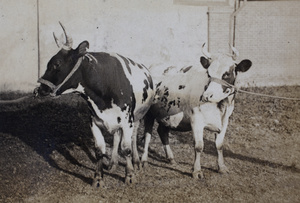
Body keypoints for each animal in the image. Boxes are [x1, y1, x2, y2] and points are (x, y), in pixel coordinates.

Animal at [35, 22, 155, 187]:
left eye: (57, 64)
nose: (40, 89)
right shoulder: (94, 121)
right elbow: (99, 150)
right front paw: (98, 178)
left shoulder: (127, 121)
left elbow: (126, 149)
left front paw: (130, 175)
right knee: (116, 136)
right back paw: (112, 163)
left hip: (138, 116)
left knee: (133, 137)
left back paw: (136, 161)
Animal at [137, 44, 252, 179]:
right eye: (208, 73)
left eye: (226, 74)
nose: (207, 96)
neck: (219, 105)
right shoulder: (196, 119)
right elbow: (199, 146)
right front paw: (197, 171)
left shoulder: (224, 121)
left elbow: (219, 145)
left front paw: (222, 167)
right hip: (149, 113)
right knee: (148, 134)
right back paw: (144, 160)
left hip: (167, 114)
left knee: (162, 131)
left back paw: (170, 158)